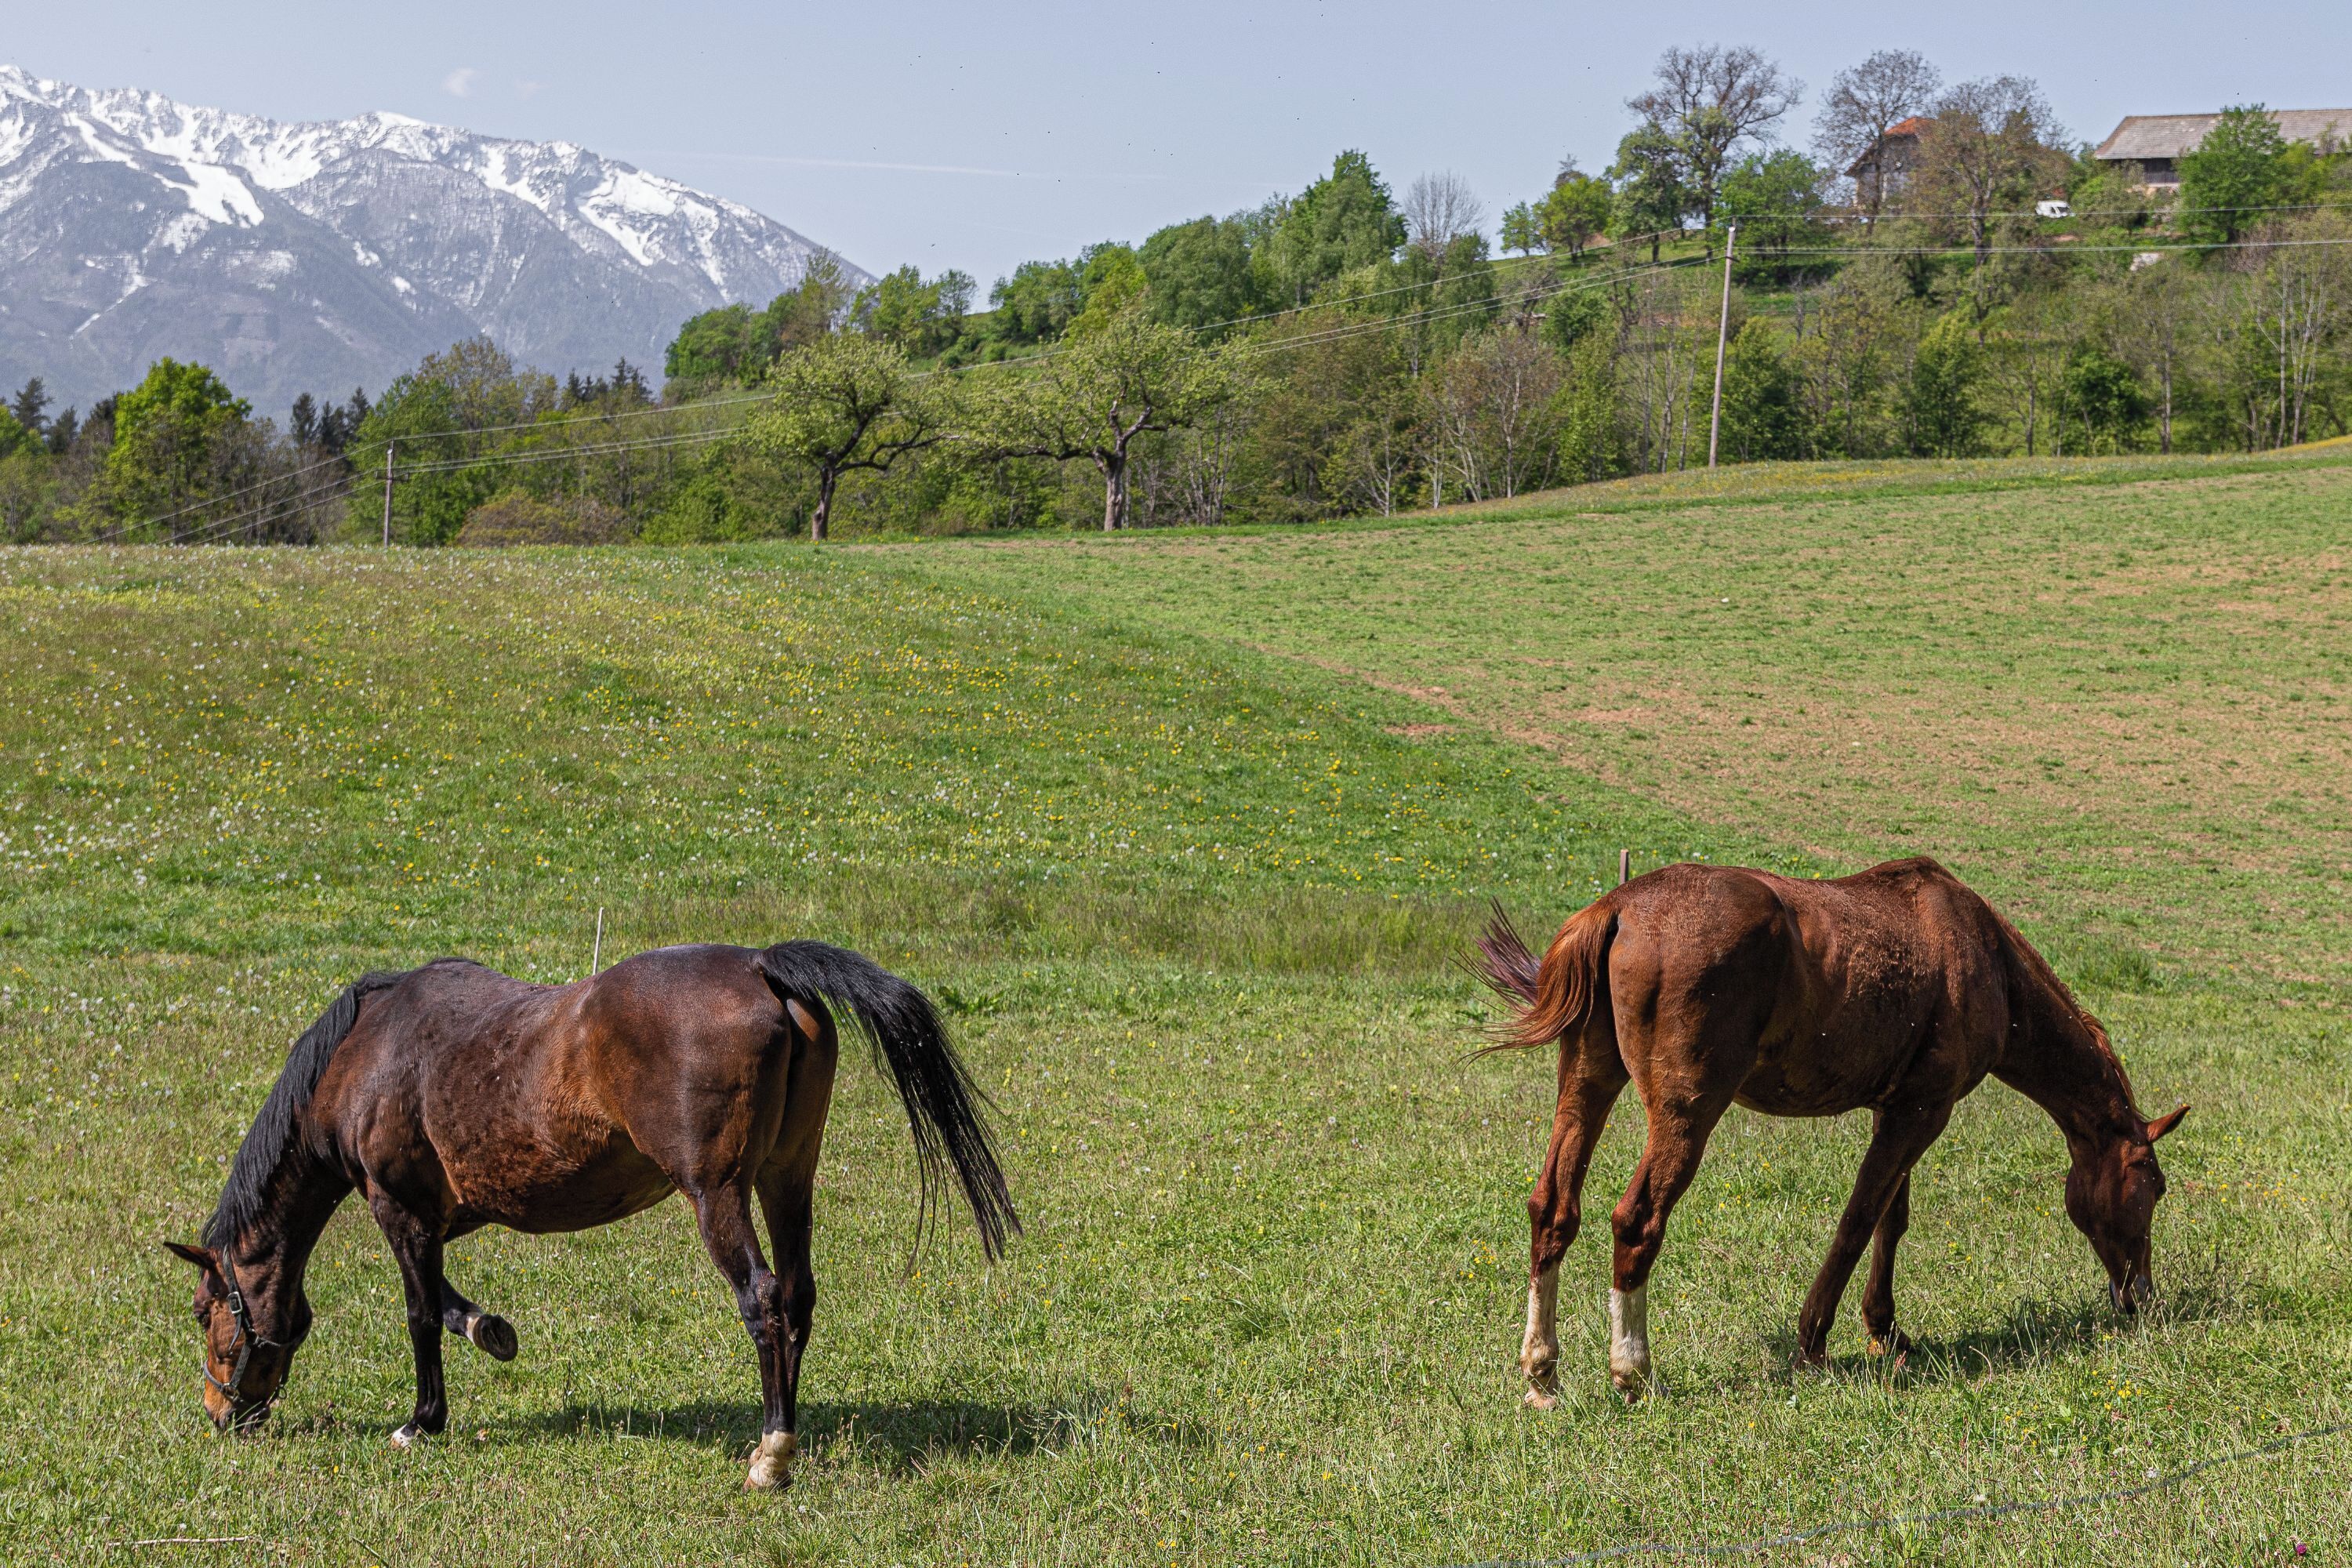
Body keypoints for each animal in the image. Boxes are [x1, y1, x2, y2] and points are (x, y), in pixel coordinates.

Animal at [164, 940, 1017, 1490]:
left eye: (206, 1311)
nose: (218, 1412)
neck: (364, 1053)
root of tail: (760, 966)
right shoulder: (435, 1220)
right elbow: (446, 1302)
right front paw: (490, 1331)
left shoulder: (397, 1207)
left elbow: (420, 1311)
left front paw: (423, 1417)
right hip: (787, 1178)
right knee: (800, 1296)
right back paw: (790, 1430)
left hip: (718, 1195)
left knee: (765, 1301)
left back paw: (770, 1453)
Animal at [1473, 857, 2186, 1408]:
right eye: (2153, 1185)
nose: (2142, 1299)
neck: (1984, 957)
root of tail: (1620, 905)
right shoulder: (1922, 1113)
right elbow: (1858, 1220)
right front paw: (1814, 1340)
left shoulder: (1900, 1110)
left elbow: (1890, 1220)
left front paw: (1887, 1330)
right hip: (1685, 1115)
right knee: (1638, 1220)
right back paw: (1634, 1372)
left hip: (1586, 1086)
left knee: (1553, 1208)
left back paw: (1542, 1374)